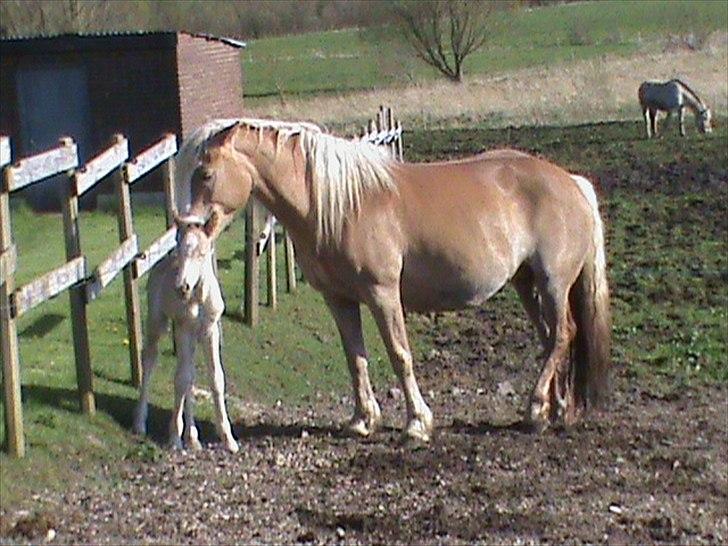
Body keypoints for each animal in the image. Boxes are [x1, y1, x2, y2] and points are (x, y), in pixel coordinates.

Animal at [132, 215, 237, 452]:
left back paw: (193, 437)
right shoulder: (183, 328)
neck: (198, 297)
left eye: (202, 253)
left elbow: (216, 378)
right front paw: (174, 438)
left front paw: (228, 439)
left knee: (189, 374)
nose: (182, 287)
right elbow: (181, 379)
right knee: (151, 360)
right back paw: (140, 424)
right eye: (179, 250)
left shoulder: (209, 330)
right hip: (158, 322)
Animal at [175, 118, 608, 438]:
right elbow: (355, 358)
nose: (188, 230)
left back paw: (536, 409)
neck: (342, 205)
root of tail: (572, 182)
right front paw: (362, 420)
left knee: (563, 335)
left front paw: (417, 422)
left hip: (553, 283)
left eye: (205, 173)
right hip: (526, 282)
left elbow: (400, 355)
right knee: (552, 338)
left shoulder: (383, 294)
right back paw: (553, 410)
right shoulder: (339, 299)